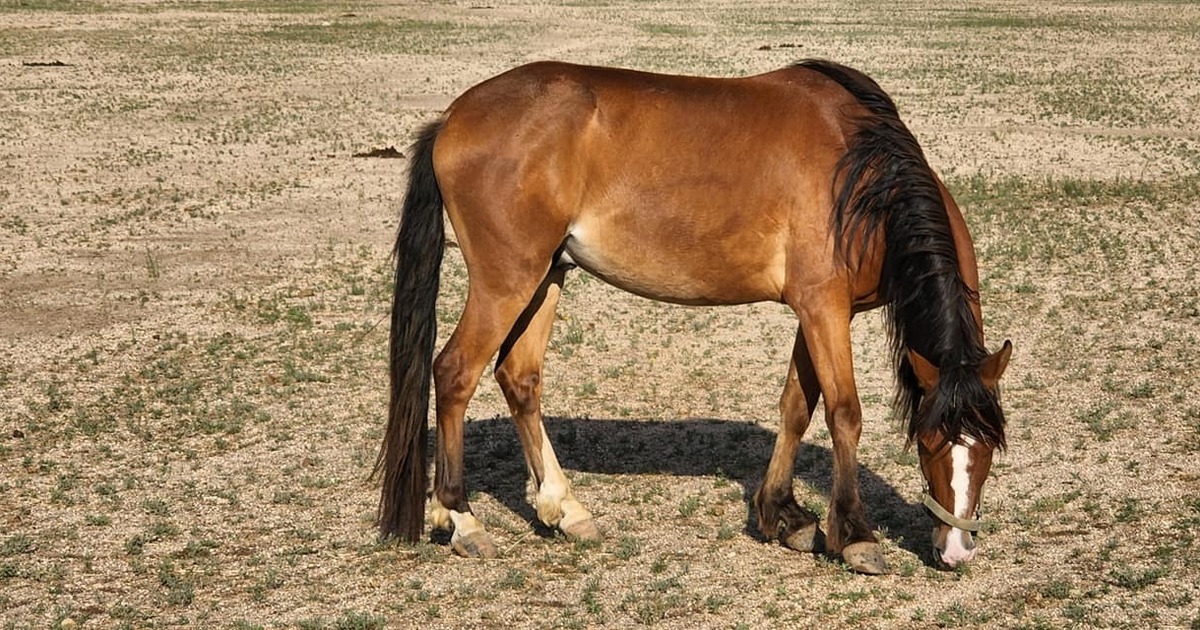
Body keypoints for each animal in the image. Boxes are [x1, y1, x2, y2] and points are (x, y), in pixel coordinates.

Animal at [374, 59, 1012, 574]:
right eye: (928, 442)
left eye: (988, 448)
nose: (957, 550)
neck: (860, 173)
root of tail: (452, 118)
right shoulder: (823, 308)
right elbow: (844, 414)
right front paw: (854, 535)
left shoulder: (822, 312)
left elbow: (797, 406)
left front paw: (783, 515)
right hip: (506, 282)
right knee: (455, 374)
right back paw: (462, 520)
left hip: (546, 276)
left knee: (519, 378)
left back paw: (566, 509)